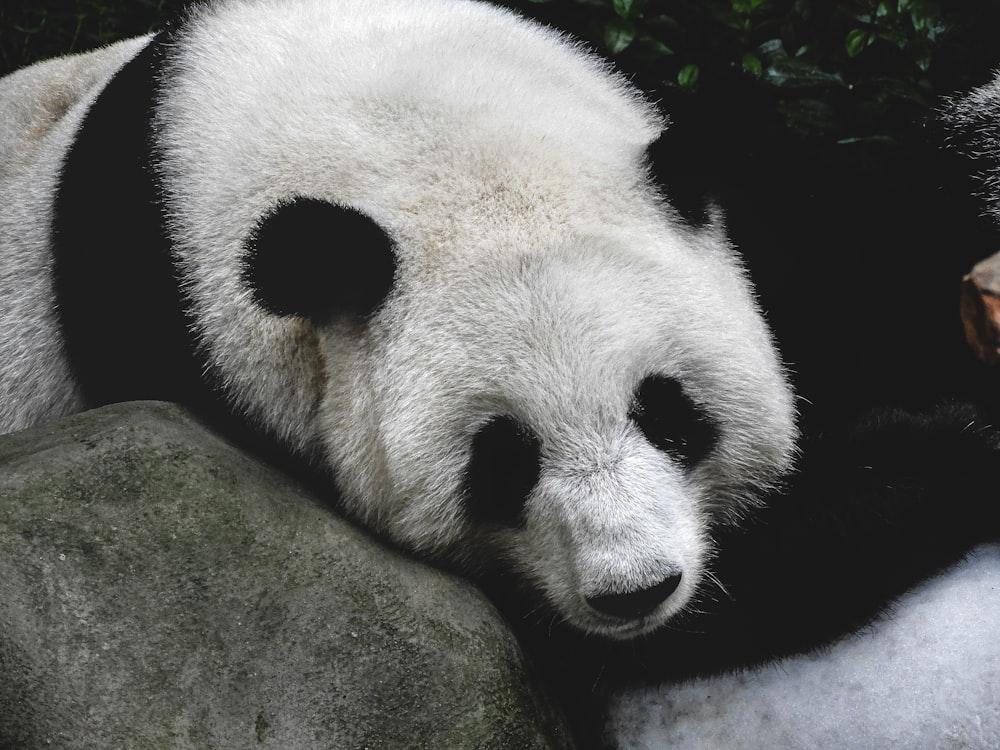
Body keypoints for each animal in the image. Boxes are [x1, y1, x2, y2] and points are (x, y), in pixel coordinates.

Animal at [0, 0, 996, 748]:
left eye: (670, 413)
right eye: (503, 456)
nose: (637, 590)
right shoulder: (213, 377)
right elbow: (595, 640)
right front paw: (943, 451)